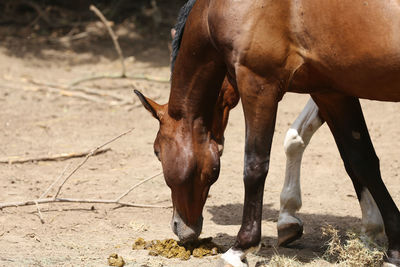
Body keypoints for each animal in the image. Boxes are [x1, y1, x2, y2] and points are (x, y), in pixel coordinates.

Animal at [135, 1, 400, 266]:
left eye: (157, 152)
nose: (179, 227)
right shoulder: (331, 91)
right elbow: (360, 160)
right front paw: (387, 242)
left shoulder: (258, 84)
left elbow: (254, 166)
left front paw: (241, 247)